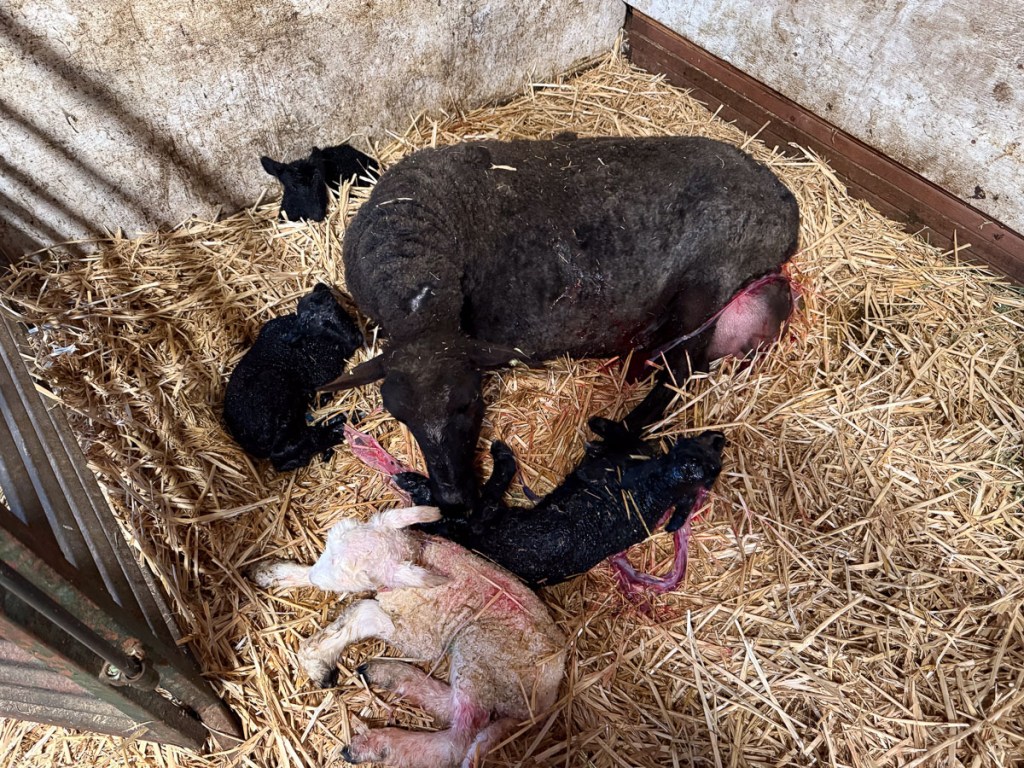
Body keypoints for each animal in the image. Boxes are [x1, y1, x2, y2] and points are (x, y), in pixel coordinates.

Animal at [223, 283, 364, 471]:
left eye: (336, 306)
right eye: (320, 327)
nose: (356, 339)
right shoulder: (322, 377)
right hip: (276, 390)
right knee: (283, 454)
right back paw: (340, 426)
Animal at [248, 505, 566, 768]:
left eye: (351, 572)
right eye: (328, 546)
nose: (317, 577)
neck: (414, 553)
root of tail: (545, 702)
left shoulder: (419, 637)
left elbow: (362, 611)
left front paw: (317, 657)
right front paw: (275, 573)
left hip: (481, 647)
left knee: (458, 738)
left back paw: (378, 745)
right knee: (453, 705)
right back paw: (391, 675)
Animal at [321, 134, 799, 513]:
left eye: (471, 401)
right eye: (398, 414)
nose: (455, 501)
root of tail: (781, 197)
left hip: (708, 283)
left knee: (679, 370)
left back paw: (616, 431)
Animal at [392, 418, 725, 592]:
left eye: (710, 469)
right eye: (702, 454)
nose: (719, 437)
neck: (658, 485)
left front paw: (599, 427)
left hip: (491, 521)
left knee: (477, 509)